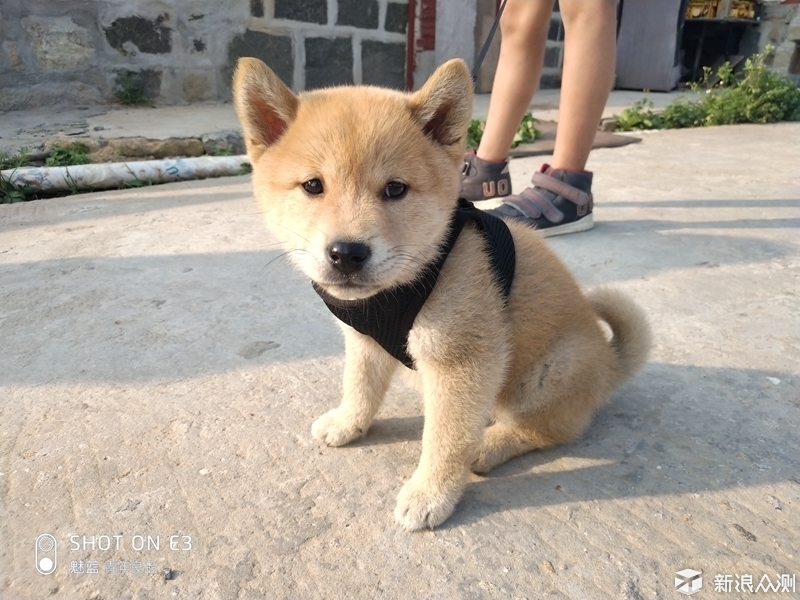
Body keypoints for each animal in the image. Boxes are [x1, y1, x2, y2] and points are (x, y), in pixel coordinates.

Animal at [231, 57, 648, 528]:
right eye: (313, 186)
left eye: (395, 188)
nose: (347, 253)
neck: (407, 283)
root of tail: (610, 362)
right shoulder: (364, 342)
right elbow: (360, 387)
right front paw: (348, 423)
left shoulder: (462, 364)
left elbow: (446, 439)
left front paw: (430, 494)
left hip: (549, 372)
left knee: (545, 430)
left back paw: (489, 445)